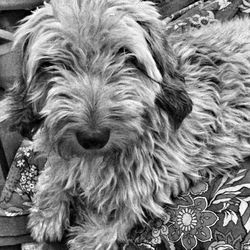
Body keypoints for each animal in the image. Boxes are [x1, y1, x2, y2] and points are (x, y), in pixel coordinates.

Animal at [1, 0, 250, 249]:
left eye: (126, 55)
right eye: (50, 64)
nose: (93, 138)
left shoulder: (162, 169)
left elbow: (125, 202)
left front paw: (90, 235)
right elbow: (56, 168)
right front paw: (47, 209)